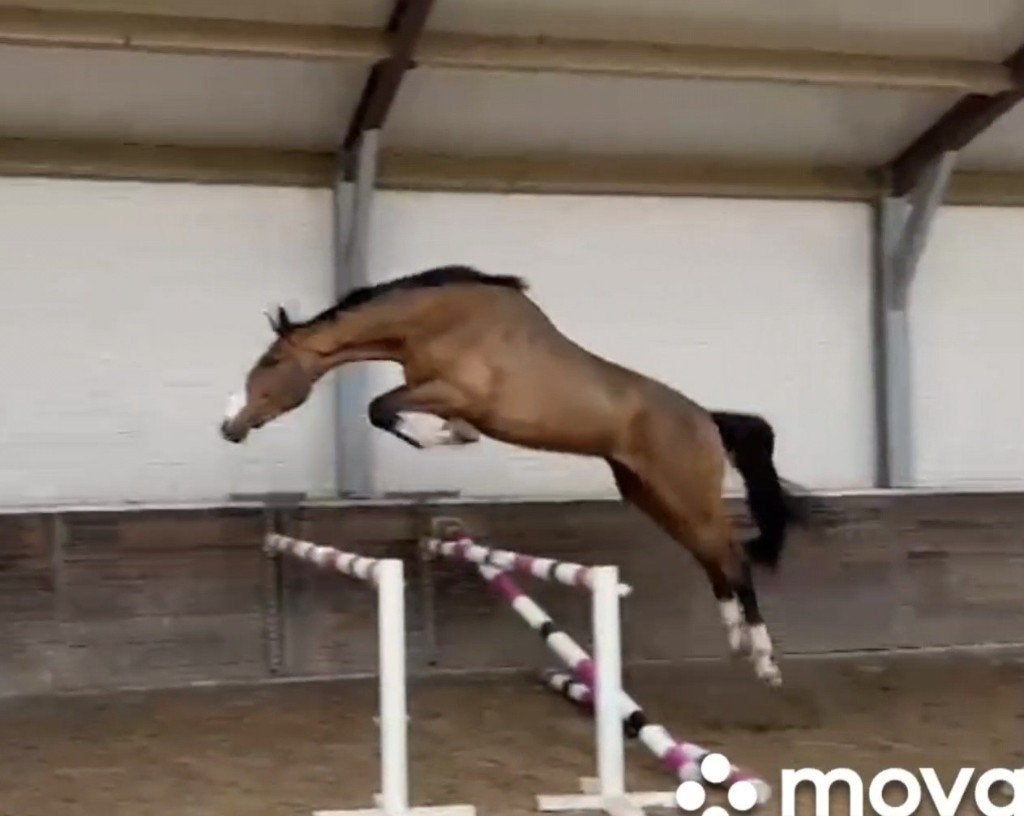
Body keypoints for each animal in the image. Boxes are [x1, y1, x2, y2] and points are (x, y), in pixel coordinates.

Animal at [220, 265, 809, 686]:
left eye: (271, 363)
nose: (230, 426)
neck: (442, 322)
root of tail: (707, 419)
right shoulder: (437, 393)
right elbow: (390, 412)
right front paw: (444, 437)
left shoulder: (453, 393)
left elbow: (380, 407)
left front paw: (442, 438)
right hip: (652, 495)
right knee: (712, 558)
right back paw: (736, 641)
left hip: (685, 492)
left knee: (732, 557)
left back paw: (765, 662)